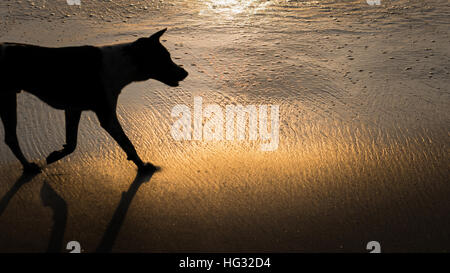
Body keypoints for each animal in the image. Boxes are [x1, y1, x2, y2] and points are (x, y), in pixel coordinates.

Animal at [0, 29, 188, 172]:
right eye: (164, 58)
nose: (185, 73)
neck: (123, 63)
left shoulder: (73, 109)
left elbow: (72, 143)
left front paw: (56, 154)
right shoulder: (107, 116)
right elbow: (127, 143)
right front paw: (143, 167)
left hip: (9, 98)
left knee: (10, 137)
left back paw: (27, 166)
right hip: (6, 99)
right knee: (11, 137)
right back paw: (28, 167)